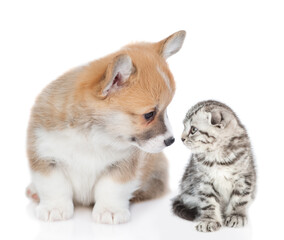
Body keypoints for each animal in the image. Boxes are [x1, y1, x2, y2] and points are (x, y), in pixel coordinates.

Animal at [26, 30, 186, 223]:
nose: (171, 141)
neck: (92, 136)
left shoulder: (122, 166)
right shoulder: (46, 157)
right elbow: (54, 186)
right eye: (149, 114)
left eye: (166, 111)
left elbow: (111, 188)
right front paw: (54, 208)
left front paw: (110, 211)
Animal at [172, 100, 256, 232]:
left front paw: (236, 216)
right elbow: (208, 202)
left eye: (193, 129)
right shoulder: (203, 181)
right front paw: (209, 220)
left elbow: (239, 199)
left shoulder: (244, 177)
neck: (218, 157)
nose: (182, 138)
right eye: (184, 127)